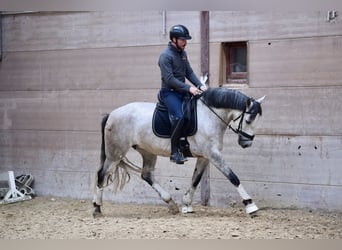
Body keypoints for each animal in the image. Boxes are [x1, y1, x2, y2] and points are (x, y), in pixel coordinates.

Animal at [92, 87, 266, 218]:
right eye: (248, 120)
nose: (247, 143)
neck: (209, 116)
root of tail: (111, 114)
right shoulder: (213, 154)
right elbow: (233, 177)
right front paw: (250, 205)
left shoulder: (204, 157)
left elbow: (196, 179)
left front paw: (186, 204)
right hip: (115, 153)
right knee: (102, 175)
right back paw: (97, 208)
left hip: (147, 151)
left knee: (147, 175)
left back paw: (171, 203)